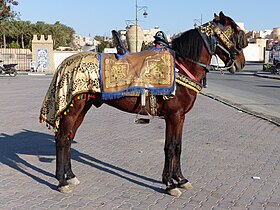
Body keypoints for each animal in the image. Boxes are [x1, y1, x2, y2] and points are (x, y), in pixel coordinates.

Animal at [40, 12, 247, 197]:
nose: (241, 62)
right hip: (73, 109)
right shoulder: (173, 116)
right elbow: (169, 147)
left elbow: (178, 147)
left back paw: (70, 176)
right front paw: (169, 184)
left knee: (68, 138)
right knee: (62, 139)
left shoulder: (181, 117)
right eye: (237, 35)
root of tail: (65, 62)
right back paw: (61, 181)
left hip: (82, 108)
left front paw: (180, 179)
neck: (180, 66)